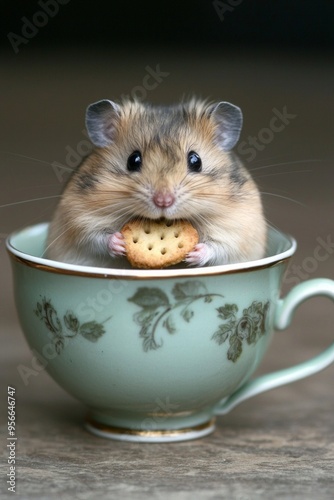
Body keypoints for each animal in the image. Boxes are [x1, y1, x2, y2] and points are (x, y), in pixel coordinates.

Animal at [46, 99, 266, 268]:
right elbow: (95, 237)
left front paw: (193, 253)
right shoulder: (77, 219)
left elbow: (218, 247)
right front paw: (120, 243)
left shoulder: (238, 228)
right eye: (133, 160)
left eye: (196, 161)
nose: (163, 202)